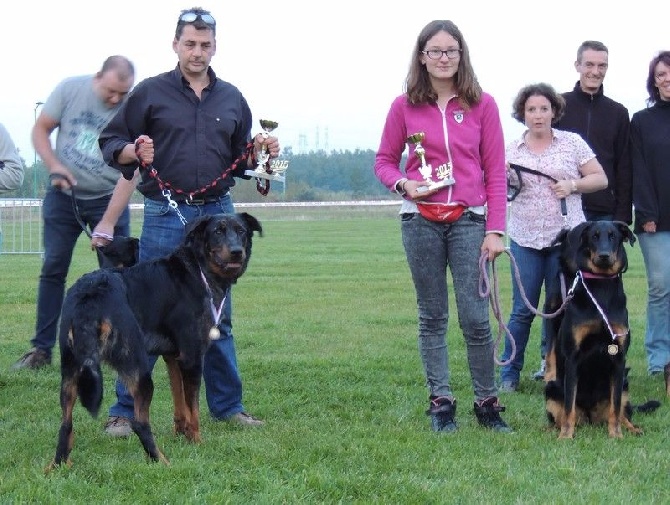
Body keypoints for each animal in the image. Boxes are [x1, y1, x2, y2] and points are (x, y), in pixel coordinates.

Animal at [46, 212, 262, 468]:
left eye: (241, 231)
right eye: (217, 231)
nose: (237, 251)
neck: (198, 269)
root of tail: (89, 298)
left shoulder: (173, 358)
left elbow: (180, 404)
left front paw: (181, 435)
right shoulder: (192, 357)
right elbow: (193, 408)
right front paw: (196, 442)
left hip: (70, 371)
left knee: (65, 424)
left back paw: (58, 465)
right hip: (138, 369)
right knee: (140, 422)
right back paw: (161, 461)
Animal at [544, 220, 652, 438]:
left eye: (613, 236)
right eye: (593, 236)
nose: (603, 255)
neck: (601, 288)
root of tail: (590, 417)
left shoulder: (619, 358)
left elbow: (615, 407)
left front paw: (616, 435)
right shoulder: (573, 357)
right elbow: (568, 406)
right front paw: (566, 436)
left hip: (625, 384)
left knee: (622, 412)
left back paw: (632, 429)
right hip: (551, 388)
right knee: (560, 415)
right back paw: (552, 429)